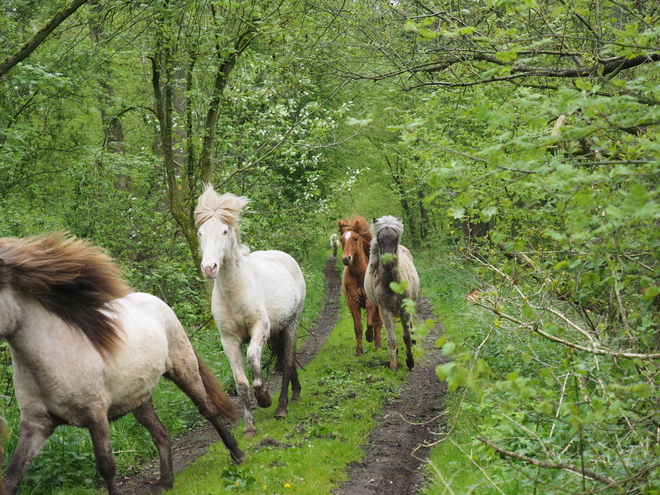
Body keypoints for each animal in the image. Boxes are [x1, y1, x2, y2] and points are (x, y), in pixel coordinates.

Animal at [0, 233, 242, 495]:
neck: (51, 362)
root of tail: (153, 299)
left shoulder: (95, 414)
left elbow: (106, 466)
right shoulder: (36, 424)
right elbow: (13, 475)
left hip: (183, 369)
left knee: (208, 410)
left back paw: (237, 455)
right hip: (139, 398)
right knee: (161, 433)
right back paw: (165, 482)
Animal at [191, 186, 304, 438]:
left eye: (224, 231)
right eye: (201, 233)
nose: (209, 268)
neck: (235, 293)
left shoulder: (259, 328)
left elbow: (253, 357)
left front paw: (264, 398)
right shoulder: (229, 340)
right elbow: (241, 383)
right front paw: (249, 427)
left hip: (290, 324)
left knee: (288, 360)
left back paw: (282, 407)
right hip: (276, 331)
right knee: (284, 358)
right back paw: (296, 393)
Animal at [338, 217, 384, 356]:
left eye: (355, 238)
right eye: (341, 240)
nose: (346, 259)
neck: (359, 276)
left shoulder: (370, 301)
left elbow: (371, 322)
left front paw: (369, 336)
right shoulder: (352, 302)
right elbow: (358, 327)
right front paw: (359, 350)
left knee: (378, 323)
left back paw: (378, 345)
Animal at [364, 217, 420, 372]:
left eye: (395, 239)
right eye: (379, 239)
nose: (388, 265)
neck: (393, 283)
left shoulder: (404, 309)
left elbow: (406, 337)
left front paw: (410, 362)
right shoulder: (385, 310)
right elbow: (391, 340)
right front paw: (393, 366)